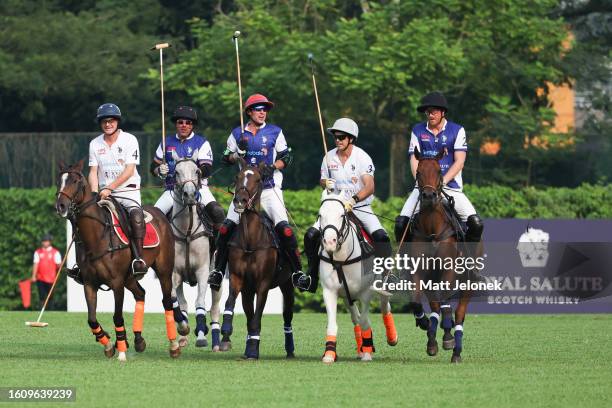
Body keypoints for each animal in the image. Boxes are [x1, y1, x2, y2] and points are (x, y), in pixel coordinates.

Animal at [54, 159, 180, 360]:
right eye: (60, 181)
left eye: (76, 181)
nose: (61, 206)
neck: (96, 237)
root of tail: (160, 213)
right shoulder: (89, 283)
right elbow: (91, 319)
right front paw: (108, 343)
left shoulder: (116, 283)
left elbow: (117, 316)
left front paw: (121, 350)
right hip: (130, 277)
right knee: (140, 294)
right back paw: (138, 340)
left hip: (164, 271)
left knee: (167, 301)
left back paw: (174, 345)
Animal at [170, 158, 222, 350]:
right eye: (176, 172)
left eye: (197, 171)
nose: (190, 195)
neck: (187, 231)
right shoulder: (174, 273)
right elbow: (174, 300)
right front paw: (183, 327)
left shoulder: (202, 271)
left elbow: (200, 303)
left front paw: (201, 335)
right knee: (183, 302)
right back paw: (183, 337)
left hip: (216, 275)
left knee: (215, 307)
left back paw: (216, 341)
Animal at [220, 159, 296, 360]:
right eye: (237, 176)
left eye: (259, 179)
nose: (240, 200)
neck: (250, 241)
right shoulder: (238, 278)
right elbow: (231, 303)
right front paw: (226, 332)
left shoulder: (263, 283)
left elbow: (257, 318)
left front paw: (253, 349)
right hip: (248, 290)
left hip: (287, 285)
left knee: (287, 316)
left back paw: (290, 349)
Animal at [316, 191, 396, 364]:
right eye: (320, 215)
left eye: (342, 215)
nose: (330, 243)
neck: (342, 258)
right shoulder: (330, 291)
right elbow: (333, 323)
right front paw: (329, 354)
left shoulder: (366, 292)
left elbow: (365, 321)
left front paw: (367, 354)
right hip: (348, 296)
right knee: (355, 317)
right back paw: (361, 348)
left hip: (380, 285)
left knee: (385, 306)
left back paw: (391, 338)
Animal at [404, 150, 476, 364]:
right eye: (418, 171)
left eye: (438, 170)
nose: (428, 196)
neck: (432, 231)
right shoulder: (419, 271)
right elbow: (417, 301)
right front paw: (425, 324)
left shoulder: (449, 269)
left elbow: (446, 303)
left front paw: (447, 337)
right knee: (437, 305)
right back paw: (435, 337)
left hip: (468, 281)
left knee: (459, 312)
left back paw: (455, 349)